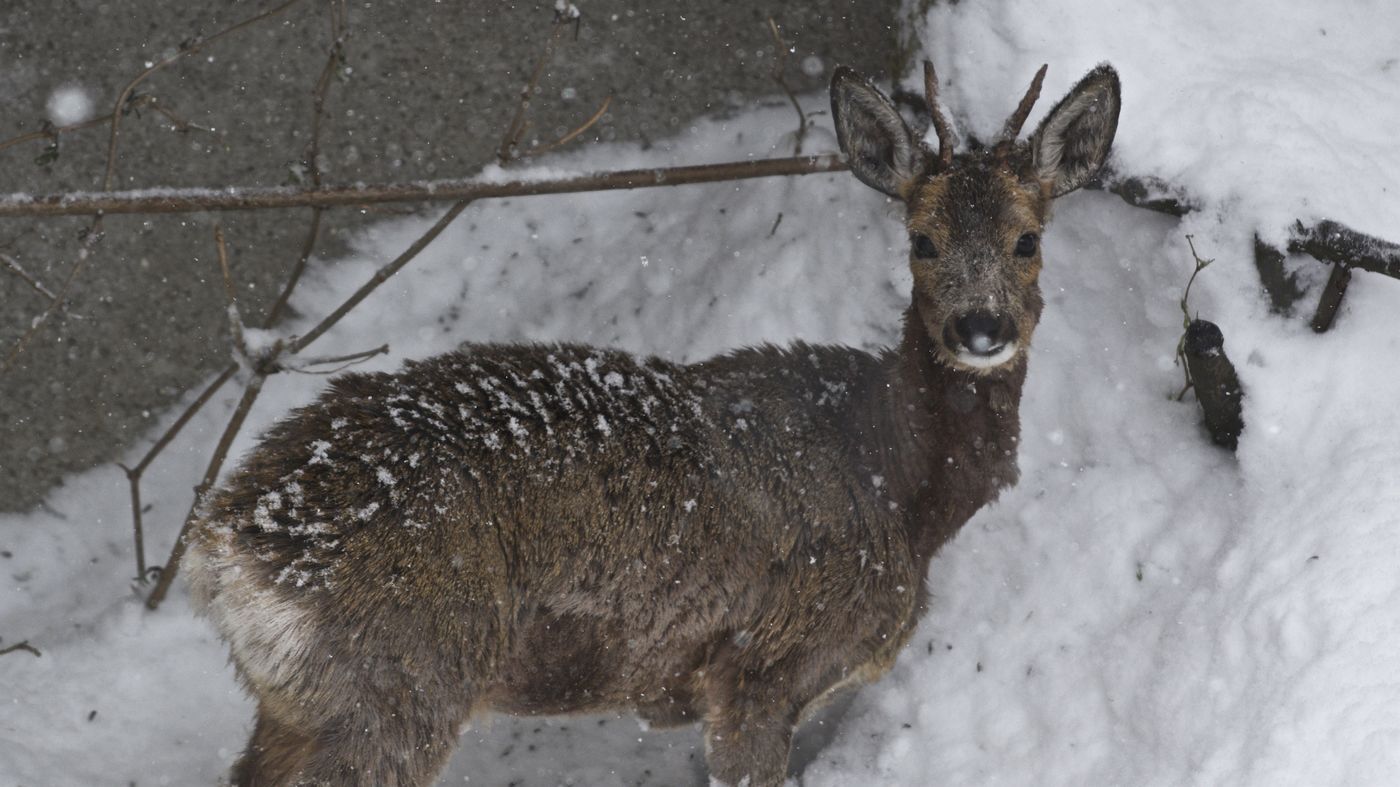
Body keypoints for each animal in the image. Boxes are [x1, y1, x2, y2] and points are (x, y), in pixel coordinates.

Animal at [183, 61, 1125, 784]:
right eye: (921, 241)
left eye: (1029, 238)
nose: (981, 329)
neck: (898, 486)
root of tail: (227, 544)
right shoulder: (762, 666)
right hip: (400, 680)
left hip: (305, 701)